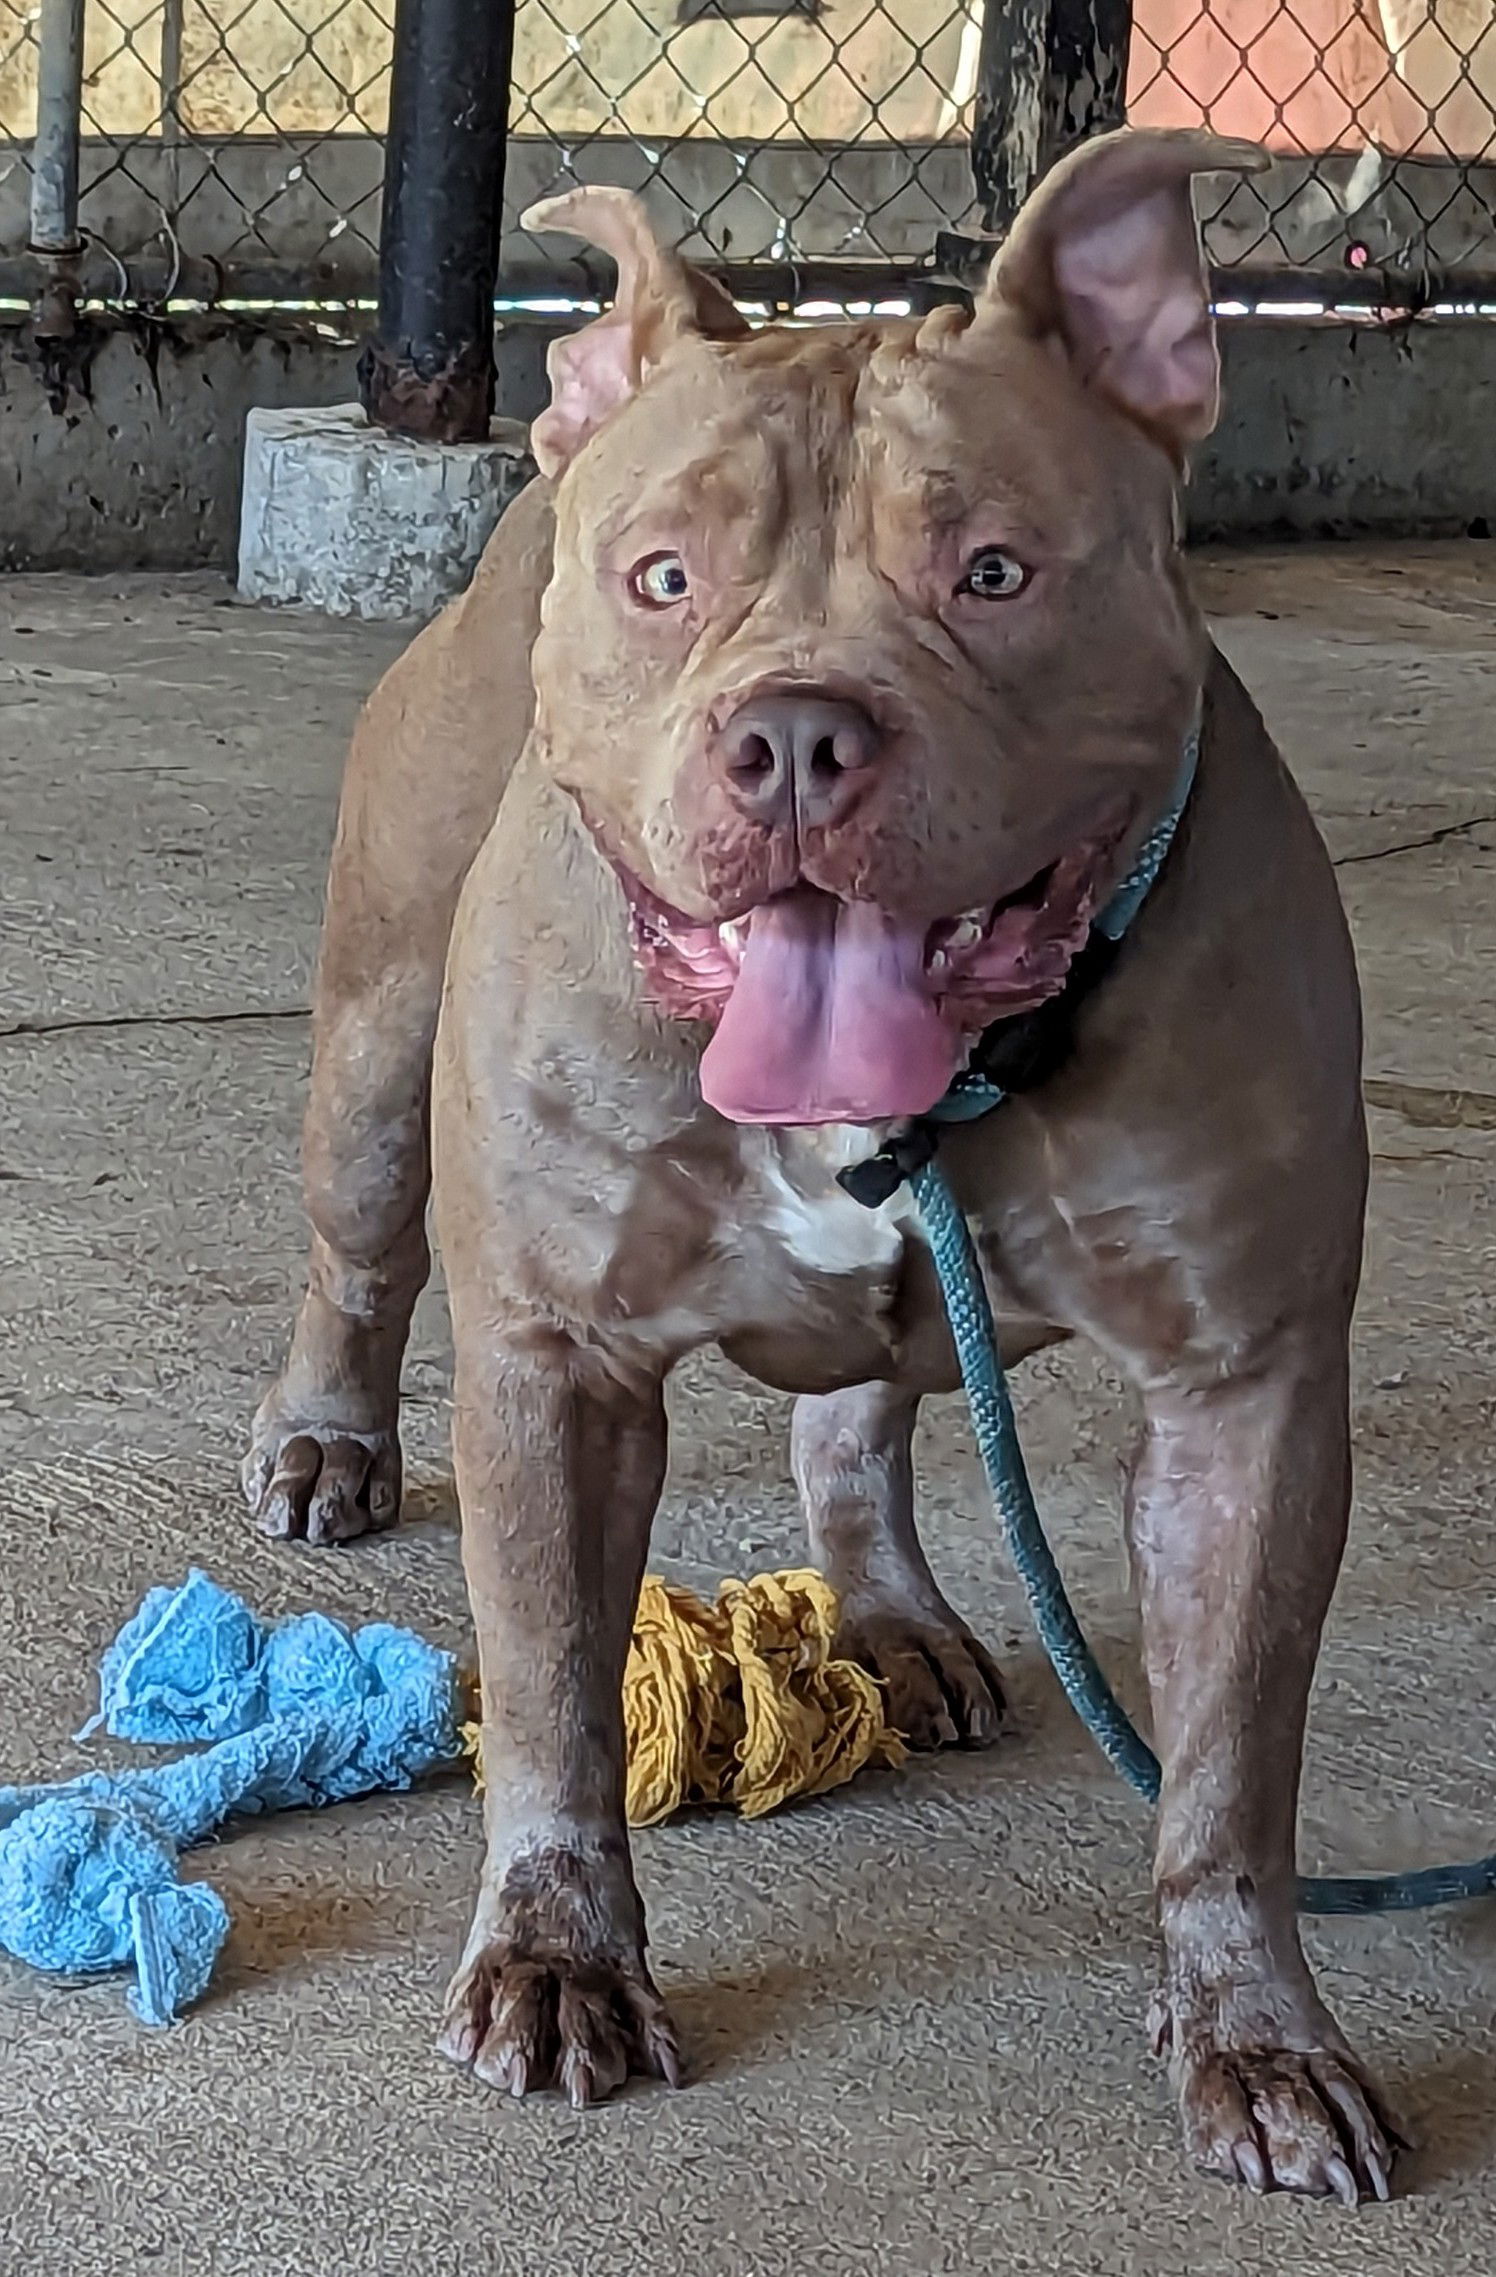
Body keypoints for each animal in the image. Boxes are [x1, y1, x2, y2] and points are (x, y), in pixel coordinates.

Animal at [242, 129, 1402, 2204]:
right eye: (665, 579)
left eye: (994, 570)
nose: (794, 734)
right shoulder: (555, 1362)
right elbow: (550, 1690)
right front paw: (558, 1959)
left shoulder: (1244, 1397)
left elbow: (1227, 1774)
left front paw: (1256, 2031)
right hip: (373, 1049)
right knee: (358, 1253)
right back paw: (327, 1444)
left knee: (856, 1417)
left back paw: (888, 1615)